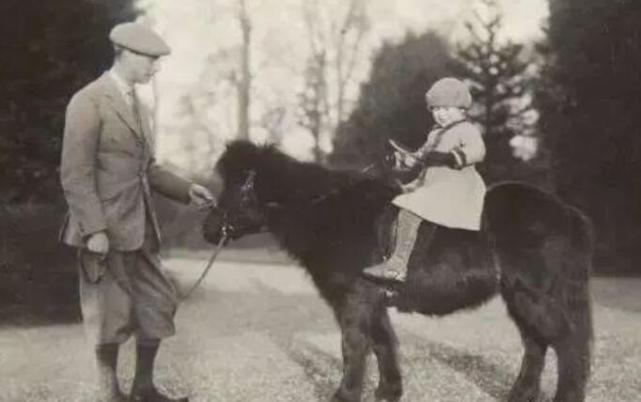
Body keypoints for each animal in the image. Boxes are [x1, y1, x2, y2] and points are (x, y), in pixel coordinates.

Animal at [202, 140, 594, 402]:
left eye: (237, 185)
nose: (208, 229)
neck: (330, 210)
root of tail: (567, 213)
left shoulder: (354, 300)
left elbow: (354, 346)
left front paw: (345, 394)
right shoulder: (373, 302)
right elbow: (382, 344)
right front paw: (388, 391)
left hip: (533, 296)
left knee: (567, 343)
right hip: (518, 297)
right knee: (536, 344)